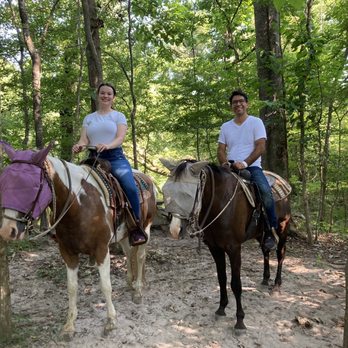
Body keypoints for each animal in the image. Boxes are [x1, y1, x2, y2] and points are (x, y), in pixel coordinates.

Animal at [0, 141, 156, 338]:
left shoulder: (101, 249)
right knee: (129, 254)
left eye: (33, 186)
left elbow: (106, 285)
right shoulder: (67, 252)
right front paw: (69, 325)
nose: (7, 230)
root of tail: (147, 179)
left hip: (145, 227)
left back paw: (138, 290)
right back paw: (130, 282)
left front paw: (111, 322)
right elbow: (72, 287)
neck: (80, 203)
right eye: (4, 182)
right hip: (124, 234)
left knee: (140, 256)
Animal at [160, 159, 290, 330]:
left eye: (187, 195)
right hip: (259, 233)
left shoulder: (234, 248)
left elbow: (236, 284)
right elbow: (221, 278)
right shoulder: (215, 248)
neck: (219, 202)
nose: (175, 230)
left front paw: (240, 320)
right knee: (265, 250)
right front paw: (221, 308)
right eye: (165, 191)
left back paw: (276, 285)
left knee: (280, 254)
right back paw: (265, 279)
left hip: (282, 228)